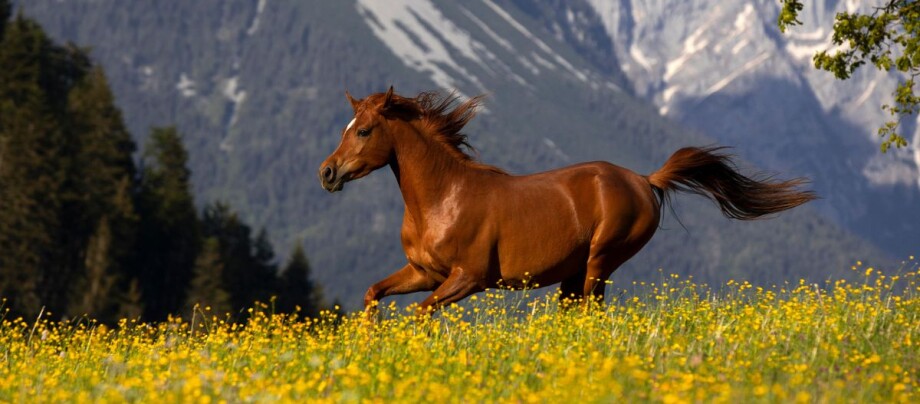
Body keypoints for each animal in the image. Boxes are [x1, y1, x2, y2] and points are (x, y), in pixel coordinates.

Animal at [320, 87, 816, 314]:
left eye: (364, 131)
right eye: (346, 126)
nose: (327, 173)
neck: (443, 199)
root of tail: (644, 179)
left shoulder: (467, 278)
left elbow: (419, 315)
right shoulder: (425, 273)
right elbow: (373, 294)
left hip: (600, 261)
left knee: (591, 314)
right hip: (574, 274)